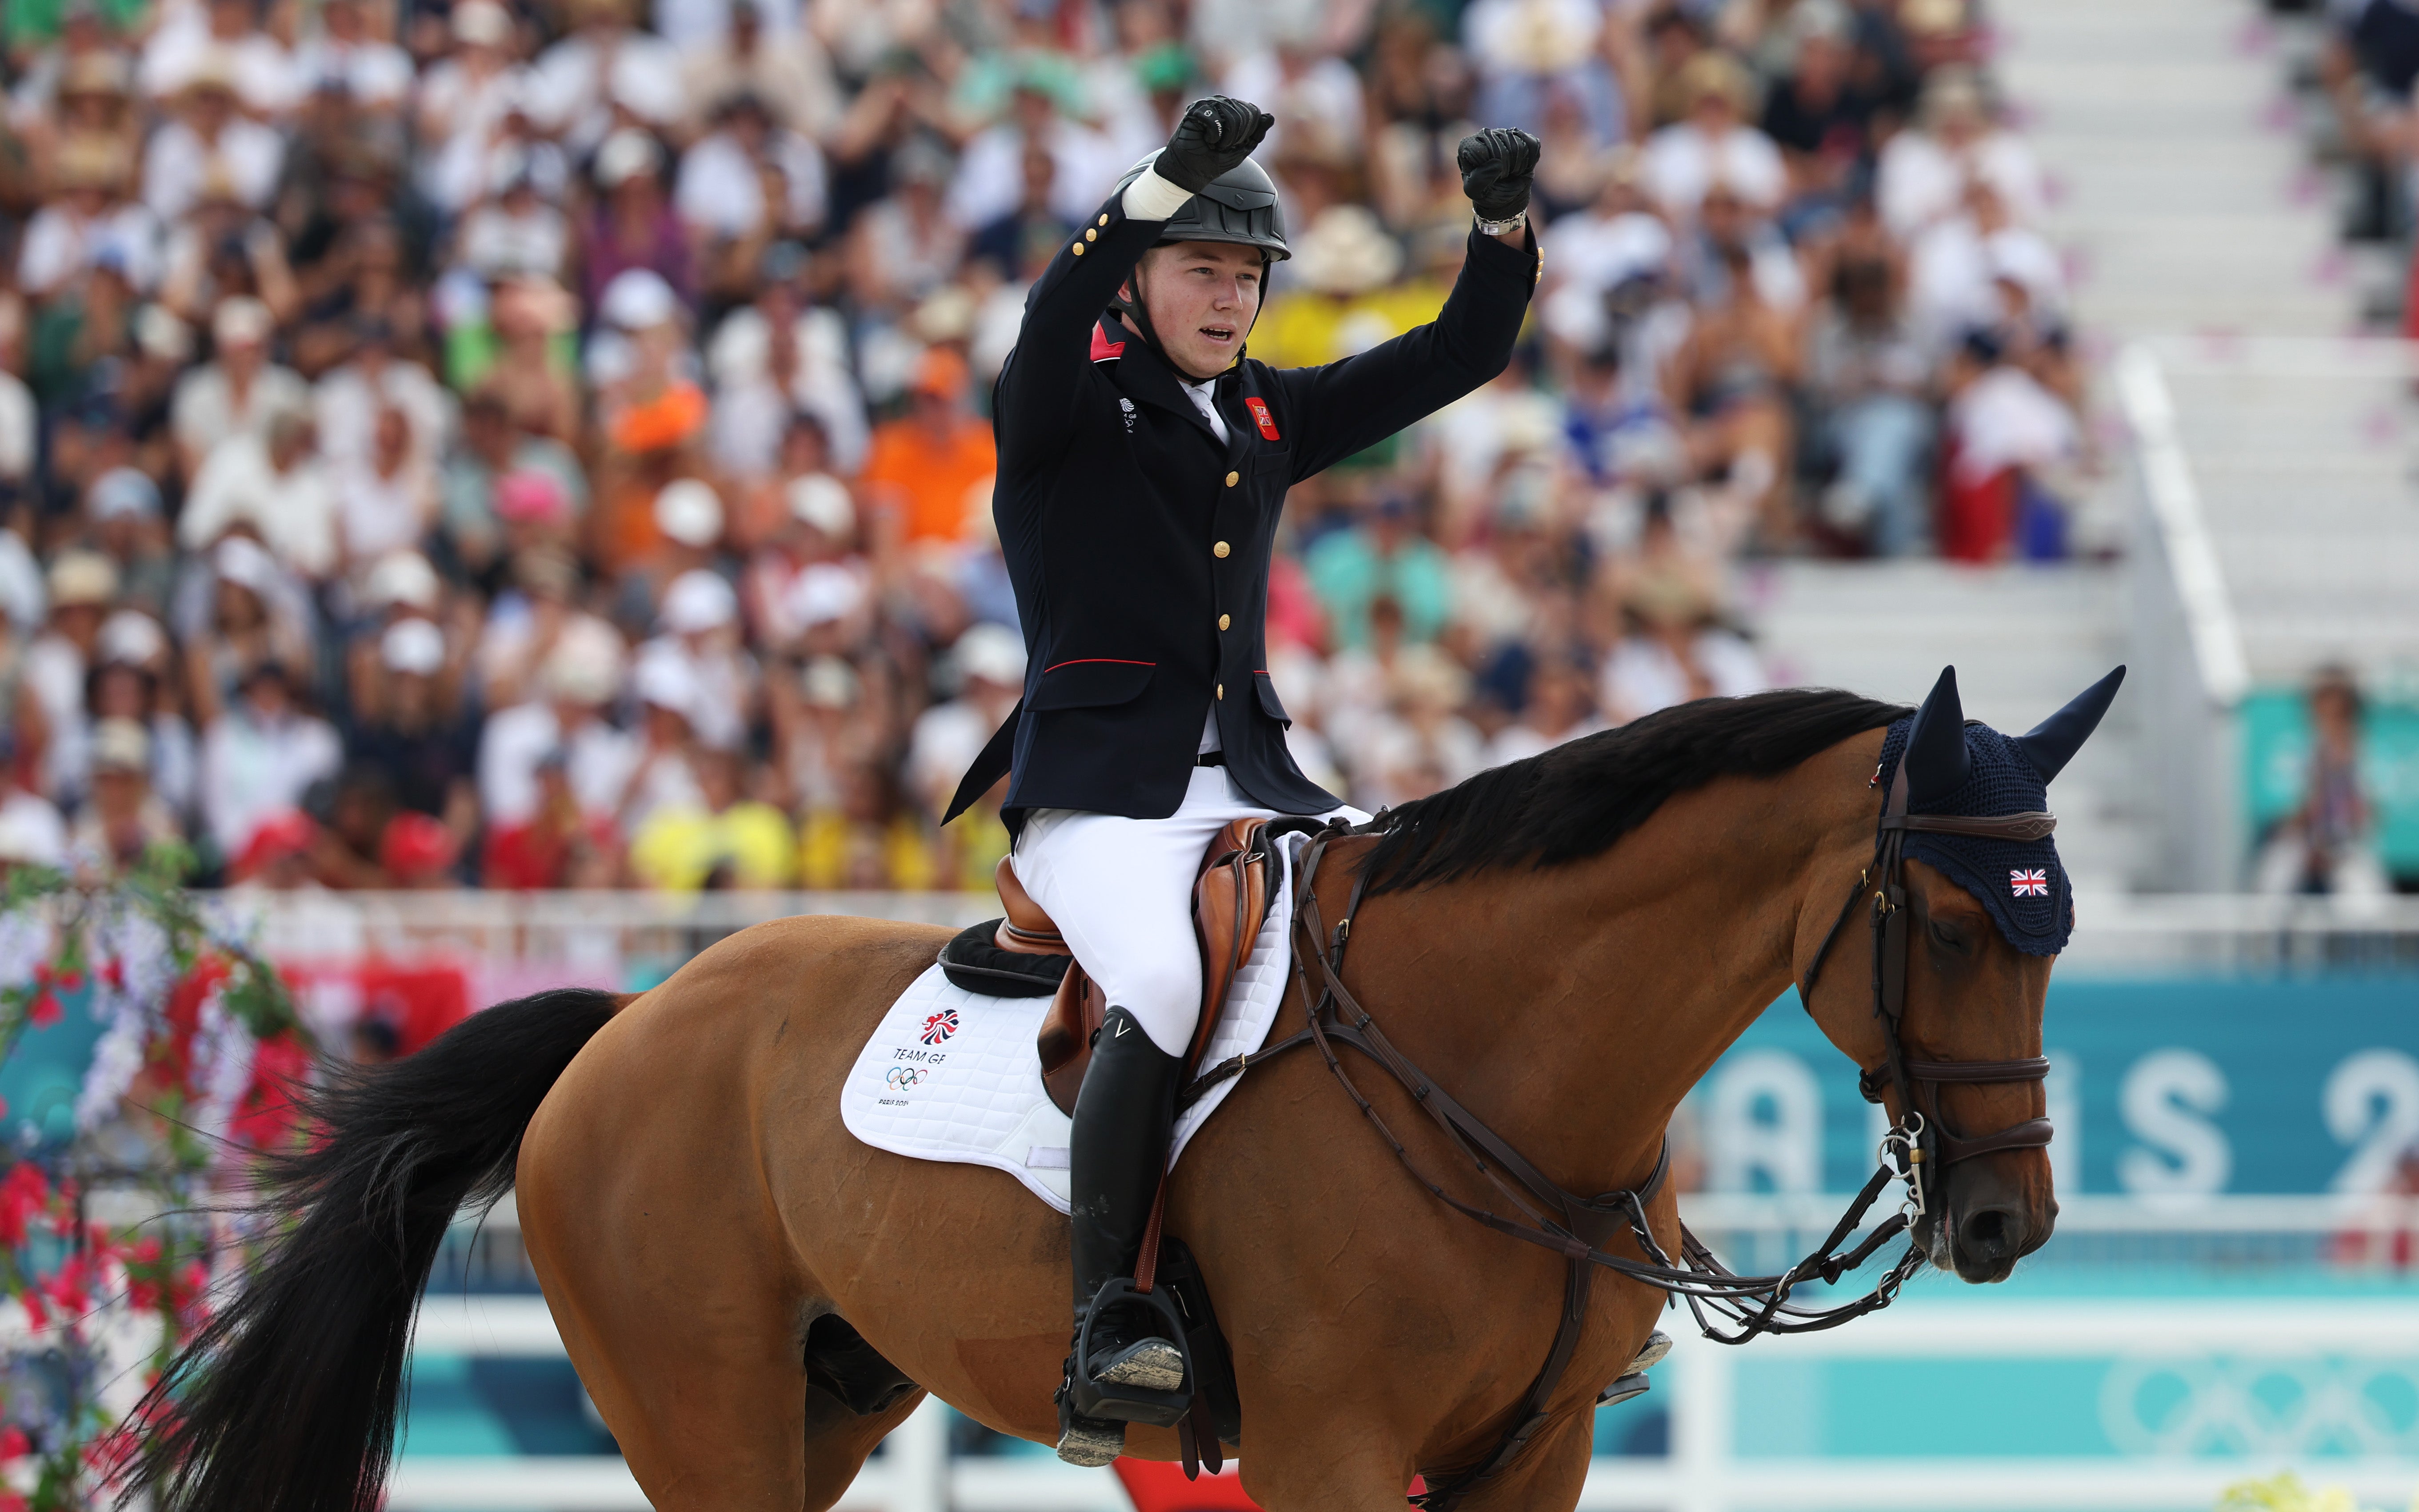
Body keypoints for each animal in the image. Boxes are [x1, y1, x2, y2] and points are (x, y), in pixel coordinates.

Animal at [123, 677, 2109, 1509]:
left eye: (2056, 925)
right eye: (1949, 919)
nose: (2002, 1217)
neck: (1499, 1063)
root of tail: (634, 1018)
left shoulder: (1529, 1455)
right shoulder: (1324, 1452)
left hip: (827, 1399)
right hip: (696, 1412)